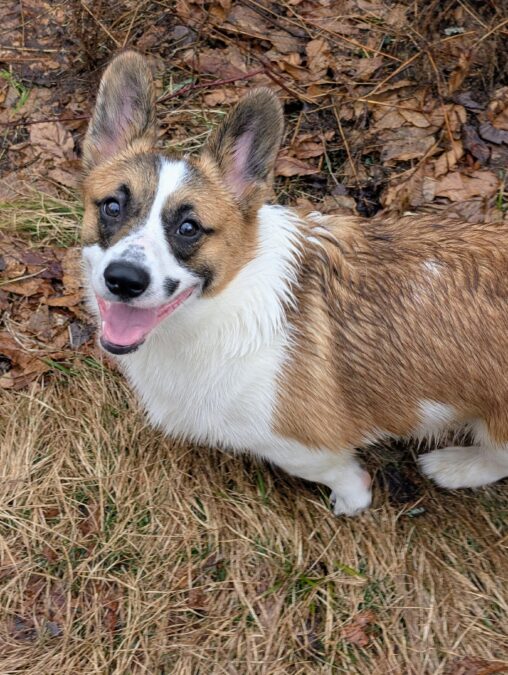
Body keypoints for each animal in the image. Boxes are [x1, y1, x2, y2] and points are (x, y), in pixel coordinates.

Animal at [81, 51, 508, 515]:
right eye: (112, 206)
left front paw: (351, 502)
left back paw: (455, 467)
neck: (221, 309)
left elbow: (343, 475)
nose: (124, 280)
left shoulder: (301, 446)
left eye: (189, 227)